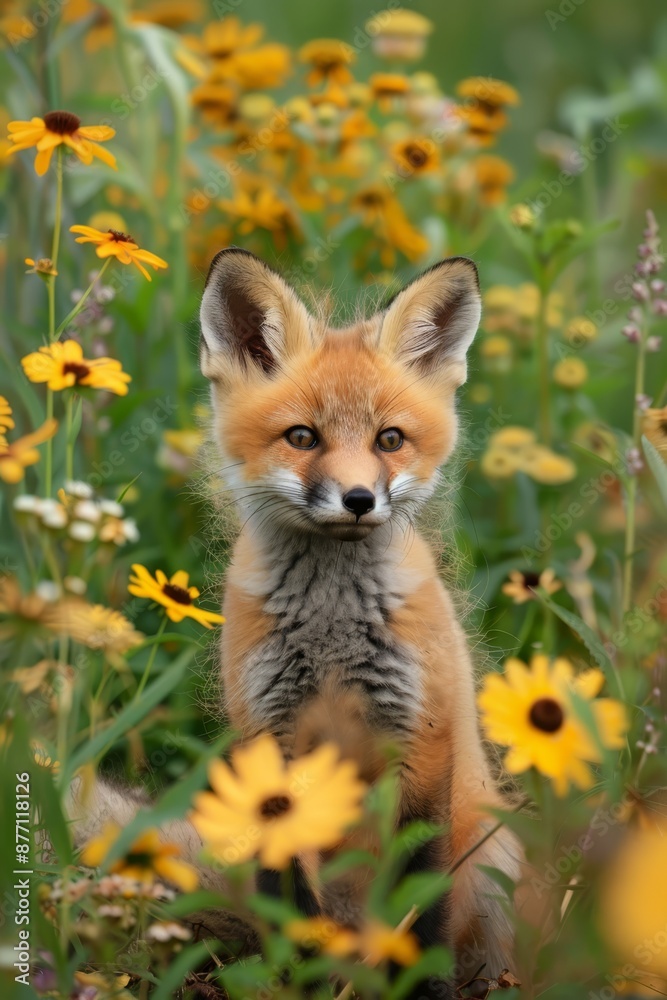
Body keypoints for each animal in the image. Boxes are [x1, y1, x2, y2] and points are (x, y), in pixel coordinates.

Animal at [70, 248, 524, 995]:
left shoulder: (422, 738)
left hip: (495, 861)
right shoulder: (267, 739)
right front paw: (300, 981)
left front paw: (418, 983)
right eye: (302, 438)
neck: (332, 633)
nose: (360, 498)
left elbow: (421, 903)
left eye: (389, 439)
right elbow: (289, 899)